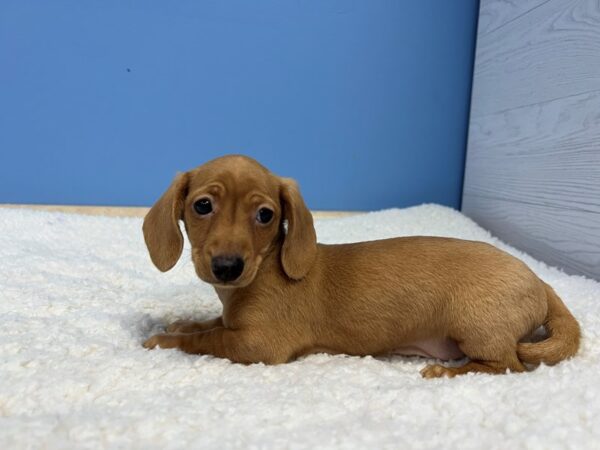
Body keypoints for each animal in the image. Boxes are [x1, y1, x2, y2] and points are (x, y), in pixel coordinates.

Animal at [143, 155, 580, 376]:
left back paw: (451, 371)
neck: (264, 269)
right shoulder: (234, 321)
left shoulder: (260, 344)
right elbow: (210, 324)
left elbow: (209, 340)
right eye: (202, 205)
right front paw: (182, 324)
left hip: (476, 327)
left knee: (509, 365)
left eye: (265, 215)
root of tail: (540, 281)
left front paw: (166, 340)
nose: (227, 267)